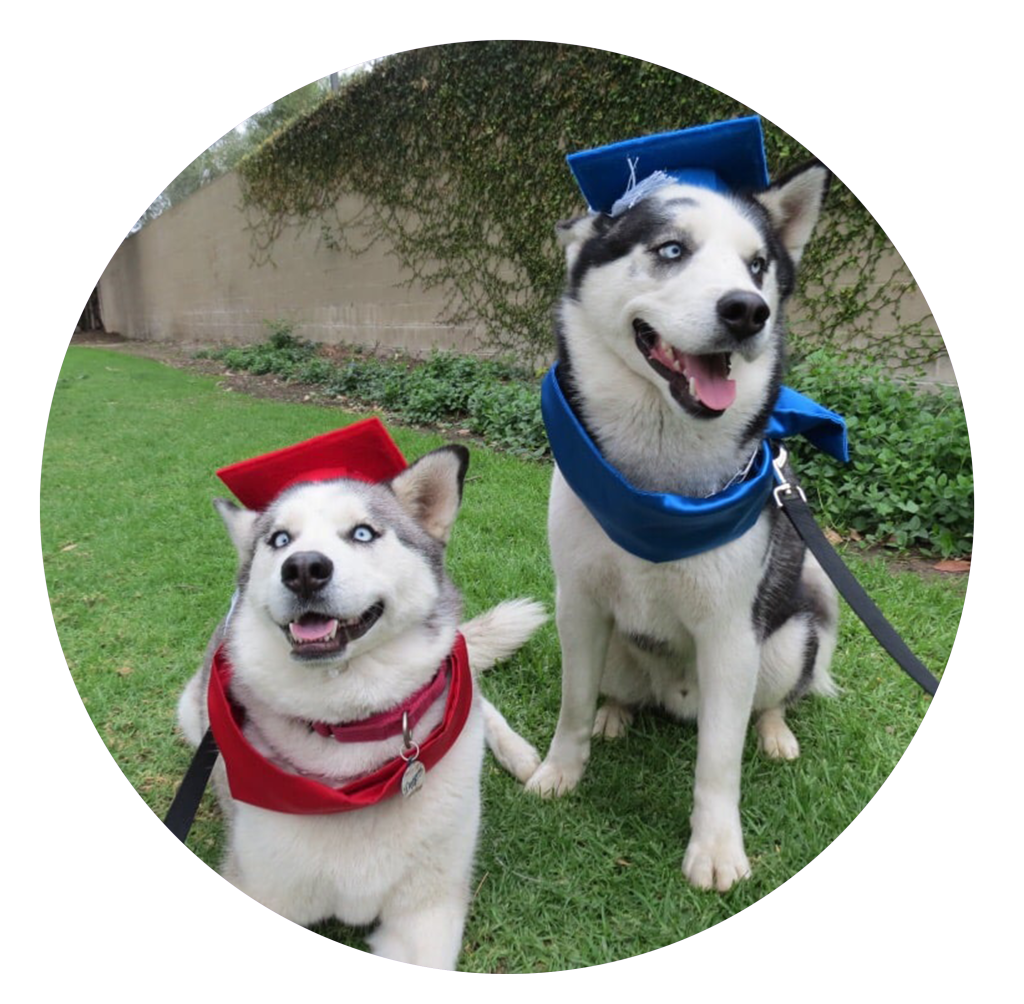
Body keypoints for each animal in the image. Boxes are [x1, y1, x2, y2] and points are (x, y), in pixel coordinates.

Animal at [177, 442, 545, 969]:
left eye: (363, 532)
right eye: (280, 539)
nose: (303, 569)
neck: (351, 738)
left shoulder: (427, 909)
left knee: (477, 694)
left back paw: (518, 753)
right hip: (190, 714)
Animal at [526, 159, 838, 892]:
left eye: (758, 266)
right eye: (672, 250)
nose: (747, 310)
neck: (658, 489)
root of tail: (676, 698)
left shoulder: (729, 634)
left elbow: (717, 761)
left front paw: (716, 847)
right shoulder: (578, 605)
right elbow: (571, 704)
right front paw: (560, 771)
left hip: (789, 638)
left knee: (773, 699)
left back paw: (775, 733)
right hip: (617, 649)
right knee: (614, 692)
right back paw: (617, 714)